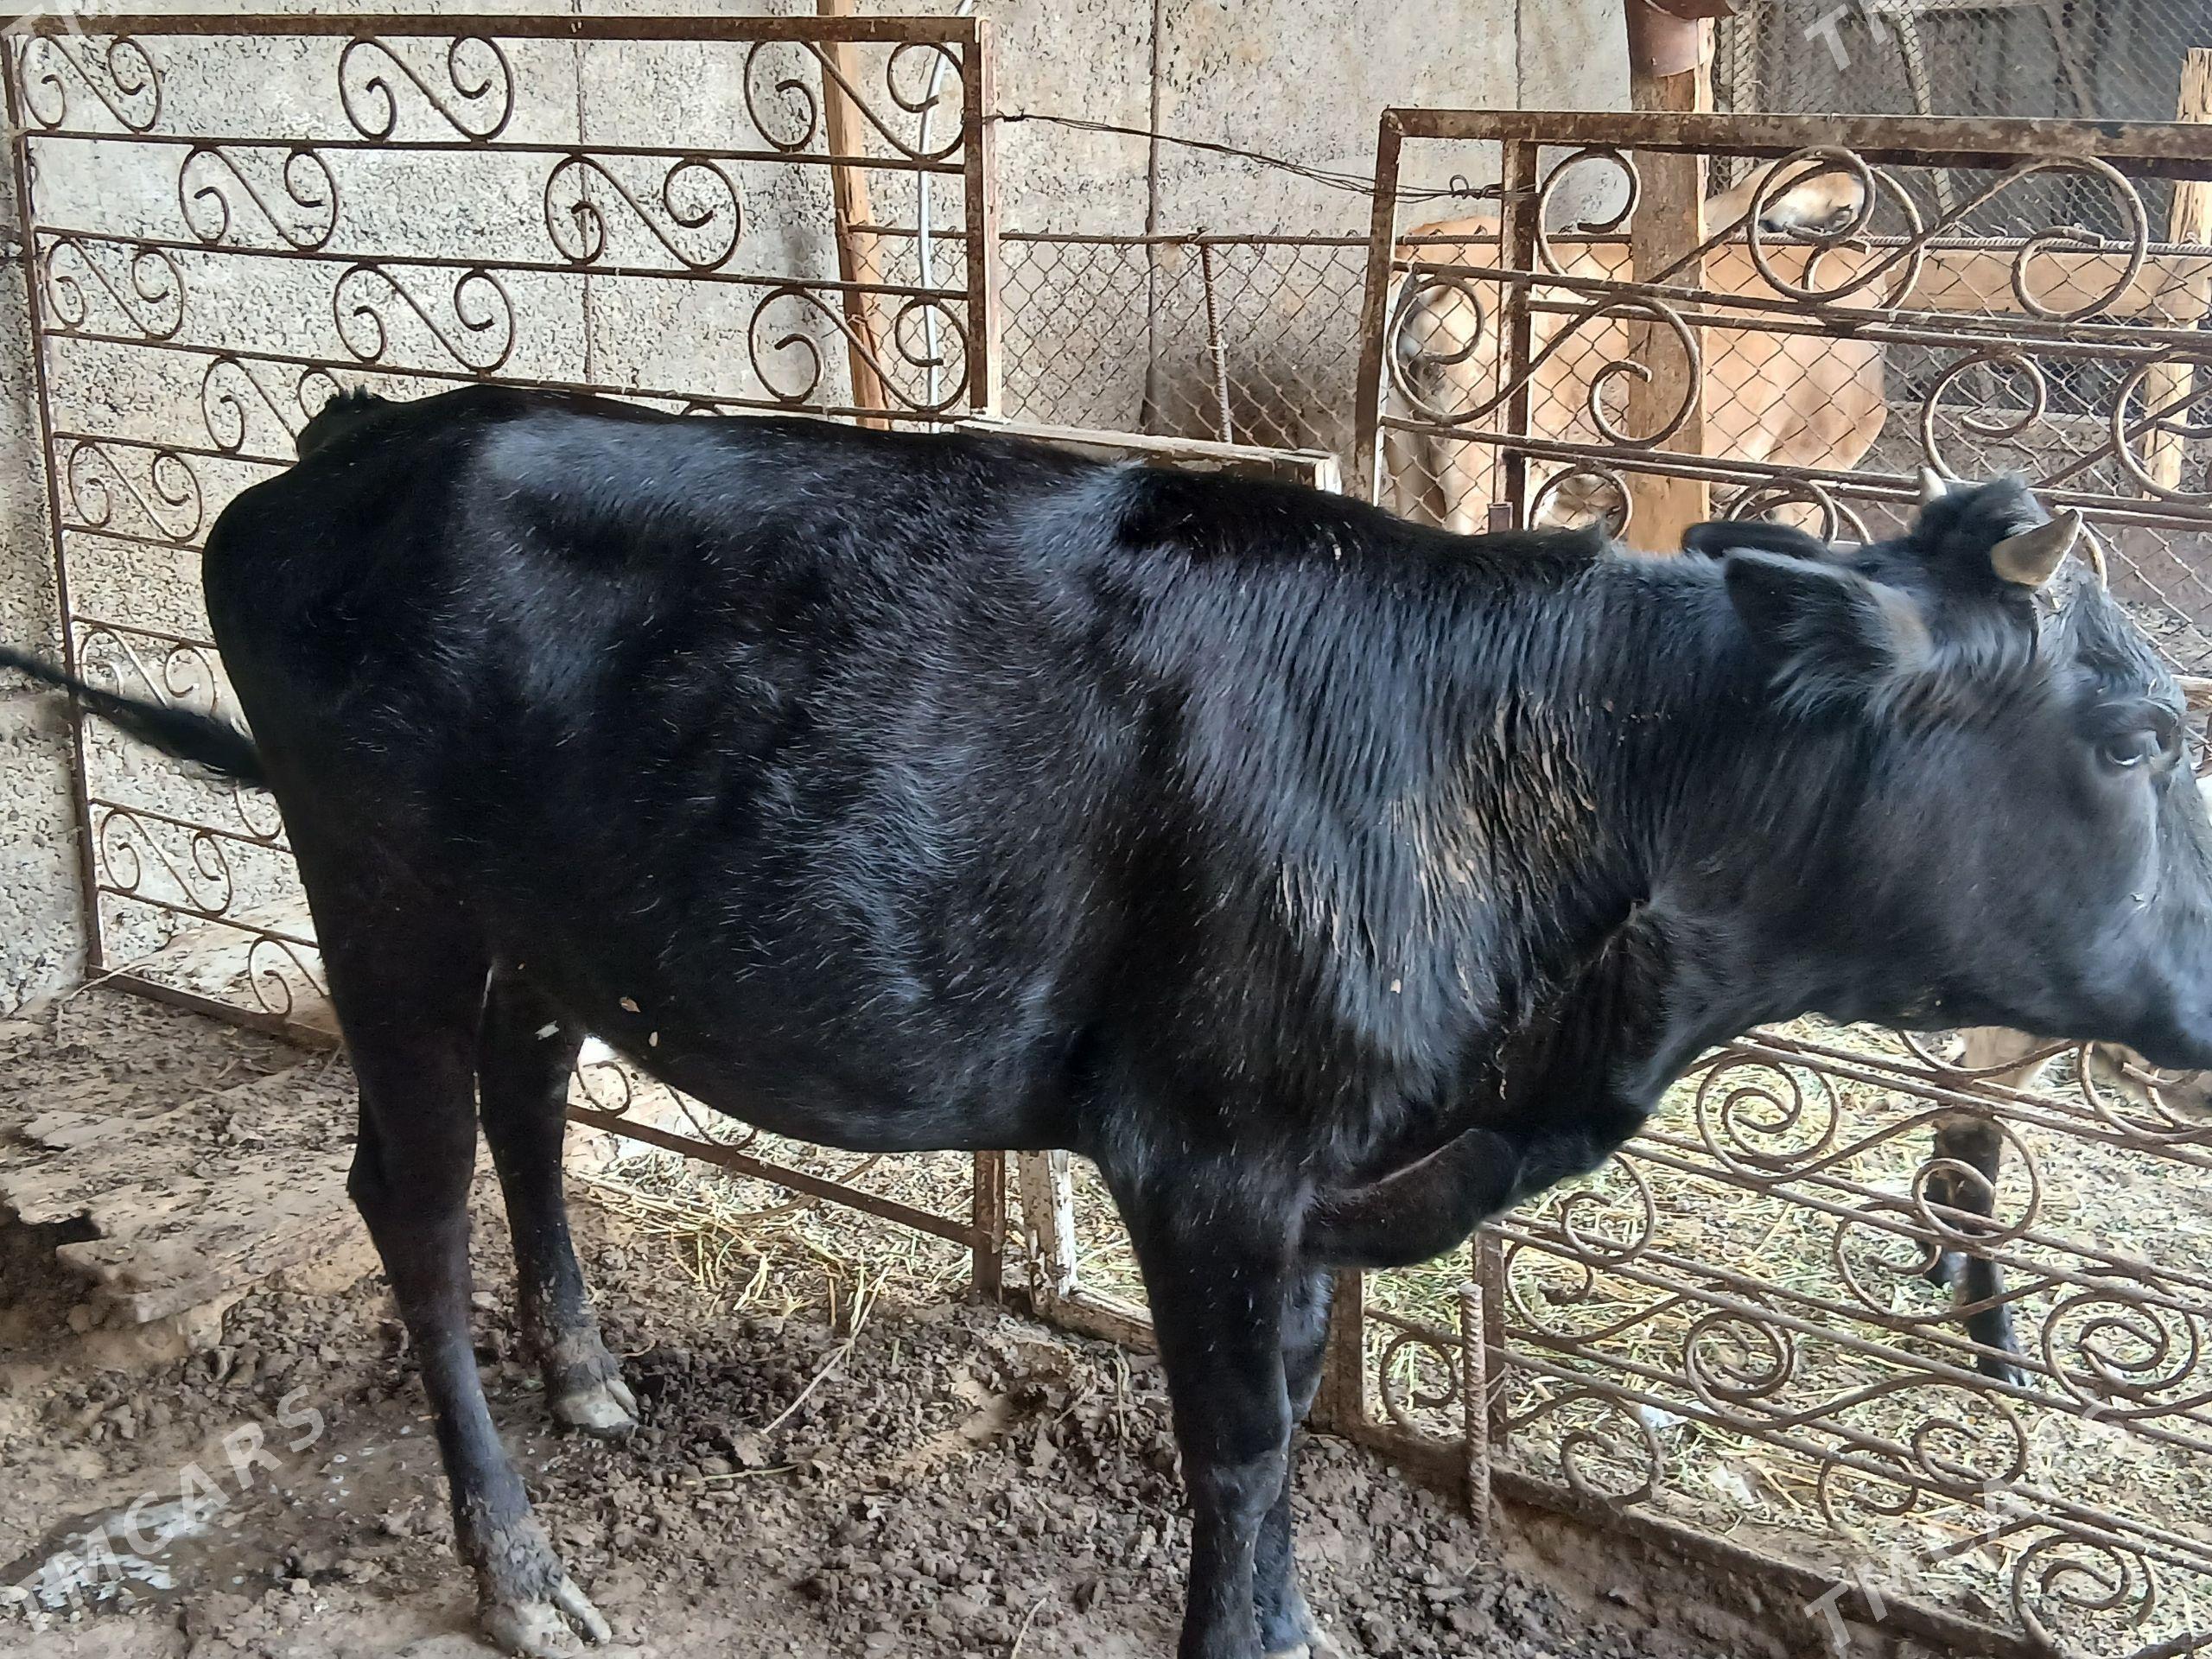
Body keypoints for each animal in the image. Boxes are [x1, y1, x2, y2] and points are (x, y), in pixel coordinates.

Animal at [9, 386, 2212, 1659]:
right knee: (414, 1194)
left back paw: (594, 1378)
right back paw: (521, 1569)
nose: (2204, 992)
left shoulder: (1322, 1179)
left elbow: (1287, 1425)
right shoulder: (1210, 1161)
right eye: (2137, 737)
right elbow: (1237, 1455)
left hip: (549, 920)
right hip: (374, 894)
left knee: (529, 1100)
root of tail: (370, 436)